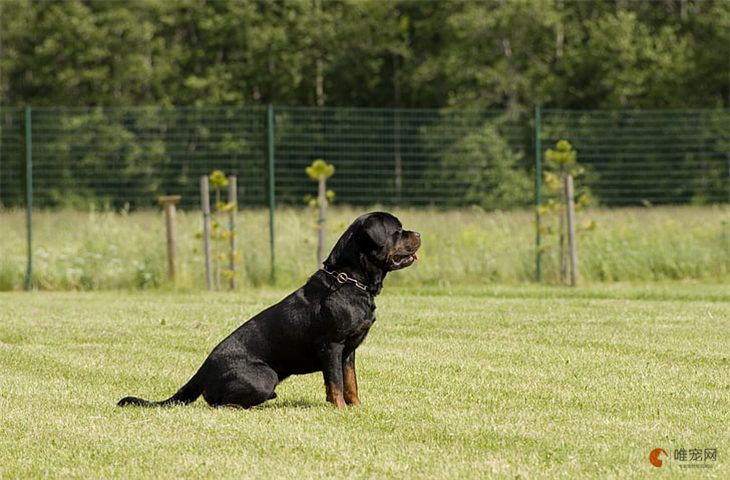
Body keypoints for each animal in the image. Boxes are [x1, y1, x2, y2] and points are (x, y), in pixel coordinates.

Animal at [116, 212, 418, 406]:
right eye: (398, 230)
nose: (418, 233)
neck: (349, 281)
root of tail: (202, 370)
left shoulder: (349, 351)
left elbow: (350, 383)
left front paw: (356, 408)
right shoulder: (331, 346)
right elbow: (335, 384)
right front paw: (340, 409)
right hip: (265, 375)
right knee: (217, 402)